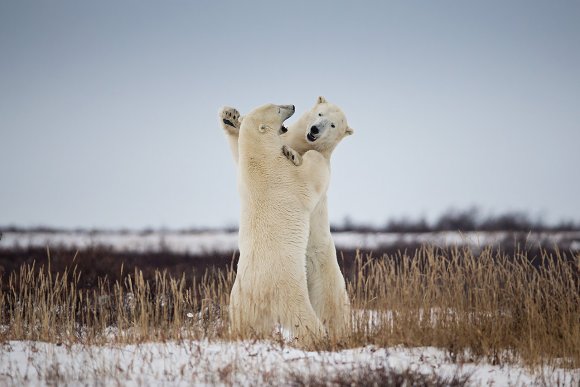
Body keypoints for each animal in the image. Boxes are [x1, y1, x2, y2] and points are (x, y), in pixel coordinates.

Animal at [219, 97, 352, 340]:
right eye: (277, 108)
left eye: (333, 124)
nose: (292, 105)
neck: (260, 159)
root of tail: (260, 295)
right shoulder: (286, 176)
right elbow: (310, 176)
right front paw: (230, 117)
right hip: (285, 290)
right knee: (304, 319)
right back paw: (319, 337)